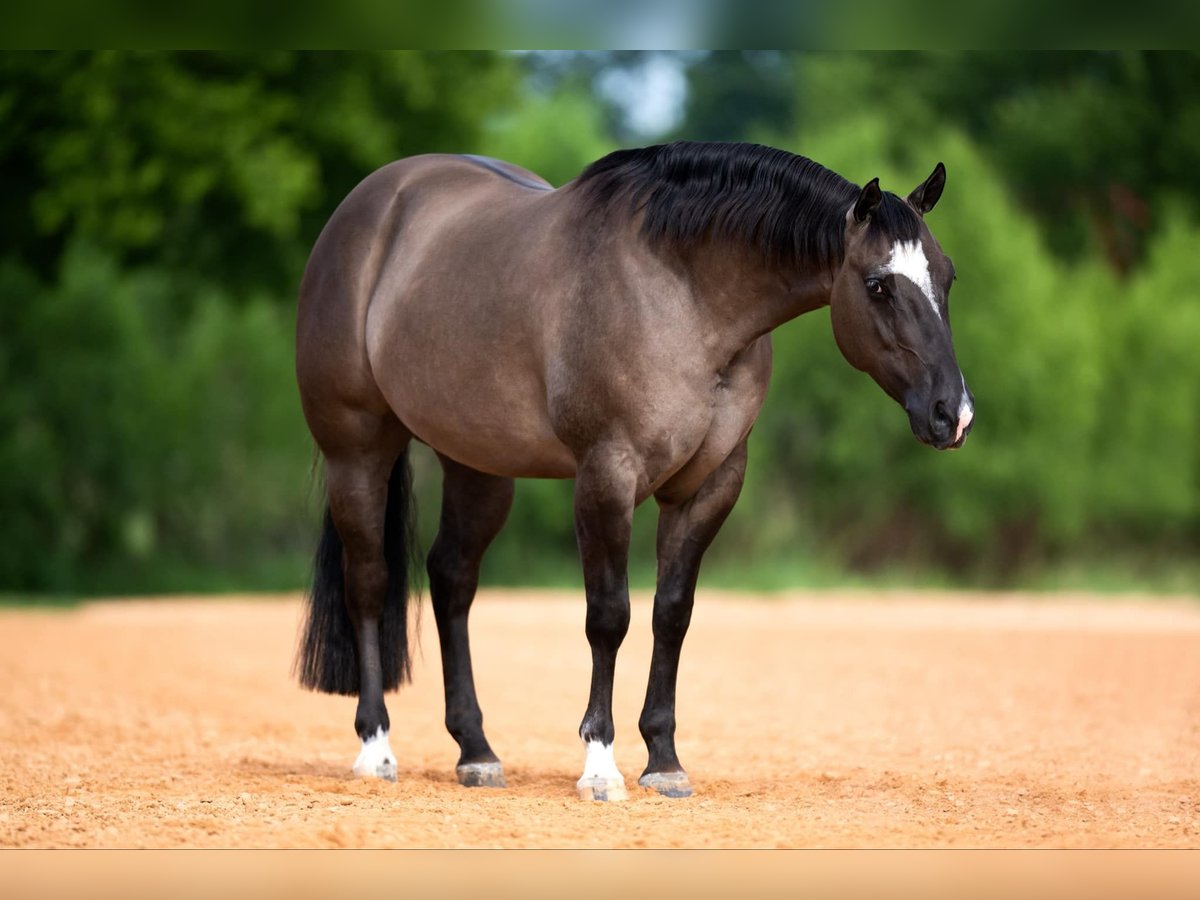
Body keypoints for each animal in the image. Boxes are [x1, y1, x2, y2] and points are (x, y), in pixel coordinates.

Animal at [292, 141, 974, 801]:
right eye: (879, 284)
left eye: (948, 275)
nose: (954, 413)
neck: (685, 299)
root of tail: (372, 204)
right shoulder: (606, 476)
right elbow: (609, 615)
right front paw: (600, 764)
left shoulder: (709, 487)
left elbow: (671, 613)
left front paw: (665, 762)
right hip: (358, 449)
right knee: (369, 583)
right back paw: (376, 748)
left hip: (477, 464)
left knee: (452, 579)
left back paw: (477, 752)